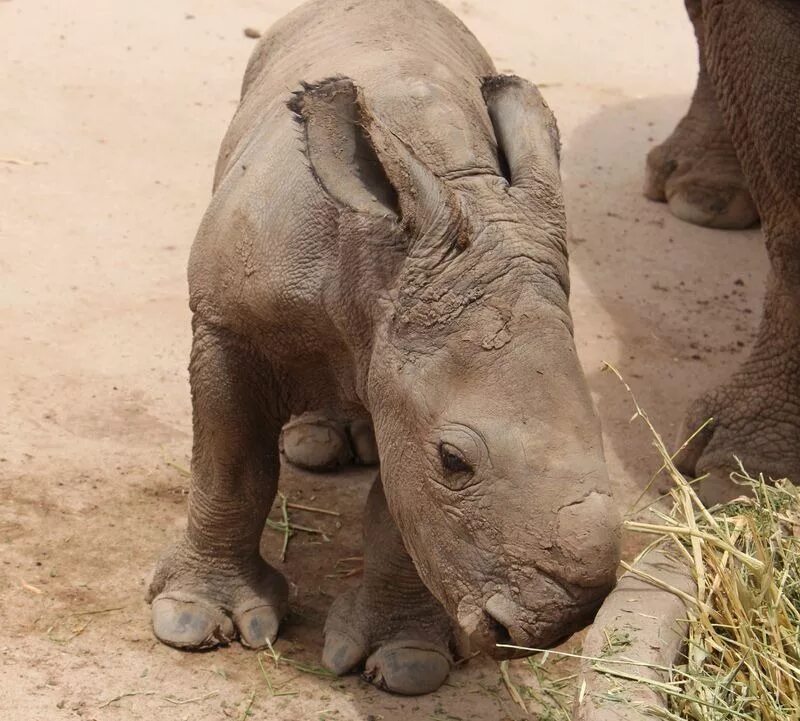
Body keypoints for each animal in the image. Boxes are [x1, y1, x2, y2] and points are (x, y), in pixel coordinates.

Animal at [152, 0, 624, 696]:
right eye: (455, 461)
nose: (551, 626)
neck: (381, 273)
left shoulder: (412, 370)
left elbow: (404, 508)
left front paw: (406, 662)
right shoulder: (224, 321)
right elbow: (230, 466)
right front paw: (189, 621)